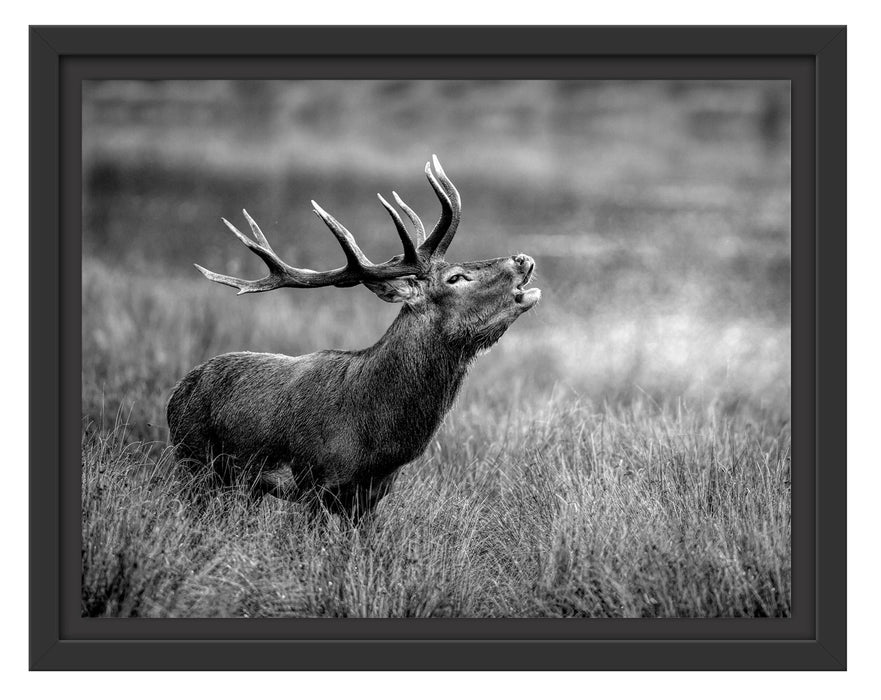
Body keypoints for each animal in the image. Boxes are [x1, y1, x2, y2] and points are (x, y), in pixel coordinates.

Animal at [166, 156, 541, 521]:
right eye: (456, 277)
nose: (523, 258)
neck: (376, 436)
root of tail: (176, 392)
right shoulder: (314, 482)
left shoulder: (371, 496)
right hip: (192, 460)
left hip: (241, 483)